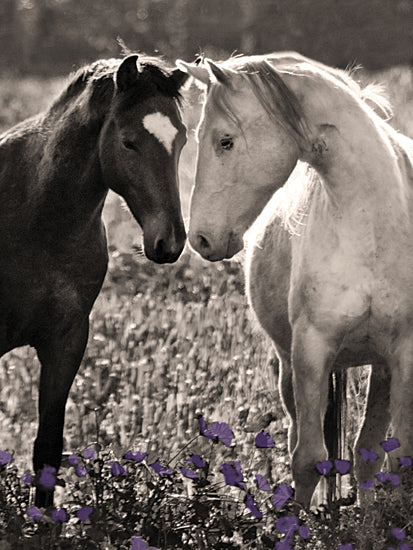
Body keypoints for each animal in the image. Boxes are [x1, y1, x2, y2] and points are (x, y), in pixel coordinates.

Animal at [177, 52, 412, 508]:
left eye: (224, 141)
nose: (200, 238)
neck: (373, 225)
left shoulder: (404, 354)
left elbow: (399, 457)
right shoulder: (311, 350)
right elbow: (308, 459)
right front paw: (292, 521)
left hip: (380, 367)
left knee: (367, 453)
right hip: (290, 366)